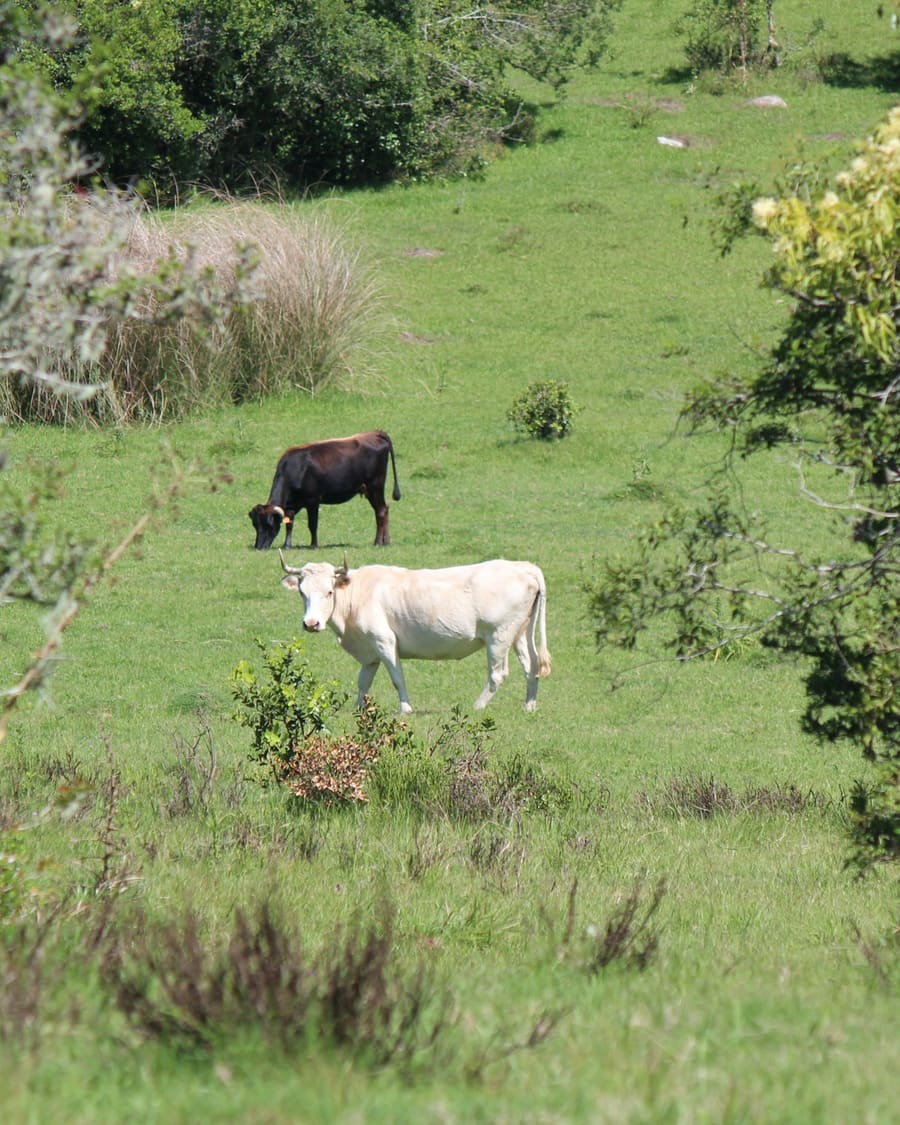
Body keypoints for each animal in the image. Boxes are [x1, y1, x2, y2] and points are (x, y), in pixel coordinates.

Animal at [249, 430, 401, 550]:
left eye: (269, 524)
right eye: (255, 525)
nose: (259, 547)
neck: (295, 470)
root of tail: (375, 432)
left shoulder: (313, 500)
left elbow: (312, 524)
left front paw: (313, 545)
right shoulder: (292, 505)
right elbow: (289, 524)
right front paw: (287, 545)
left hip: (375, 485)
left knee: (381, 511)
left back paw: (378, 542)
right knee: (383, 510)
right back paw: (386, 541)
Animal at [278, 552, 551, 714]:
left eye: (329, 592)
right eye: (302, 592)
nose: (311, 623)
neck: (357, 593)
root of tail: (522, 566)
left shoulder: (385, 641)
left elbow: (397, 677)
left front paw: (405, 709)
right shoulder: (369, 651)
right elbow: (363, 681)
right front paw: (357, 708)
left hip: (498, 636)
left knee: (497, 674)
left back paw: (477, 706)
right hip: (520, 634)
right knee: (532, 667)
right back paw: (529, 706)